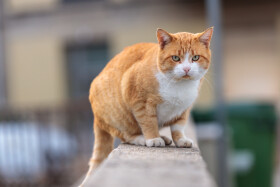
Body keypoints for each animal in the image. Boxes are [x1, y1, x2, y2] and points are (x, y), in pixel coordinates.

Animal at [80, 27, 213, 186]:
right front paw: (153, 138)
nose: (187, 69)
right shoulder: (140, 102)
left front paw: (180, 140)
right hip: (121, 117)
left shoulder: (184, 110)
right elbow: (148, 122)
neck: (179, 86)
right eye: (175, 58)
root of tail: (96, 117)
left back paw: (164, 137)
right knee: (126, 136)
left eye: (195, 58)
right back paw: (143, 138)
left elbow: (178, 128)